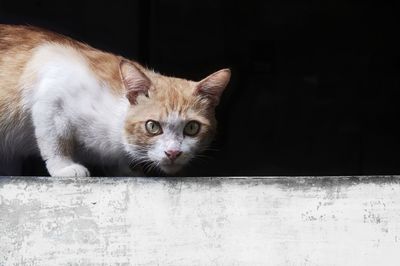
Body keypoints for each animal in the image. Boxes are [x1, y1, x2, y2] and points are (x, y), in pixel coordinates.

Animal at [0, 23, 230, 176]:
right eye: (152, 126)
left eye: (192, 128)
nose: (173, 153)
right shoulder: (52, 89)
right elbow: (55, 139)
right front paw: (64, 167)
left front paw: (127, 170)